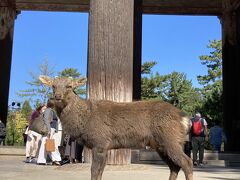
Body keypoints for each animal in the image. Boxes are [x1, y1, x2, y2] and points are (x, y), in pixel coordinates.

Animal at [39, 75, 193, 179]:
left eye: (69, 86)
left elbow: (94, 171)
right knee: (174, 166)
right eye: (53, 86)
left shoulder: (100, 142)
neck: (84, 120)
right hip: (161, 144)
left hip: (169, 139)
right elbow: (100, 171)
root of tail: (184, 118)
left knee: (187, 162)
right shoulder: (105, 146)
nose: (57, 96)